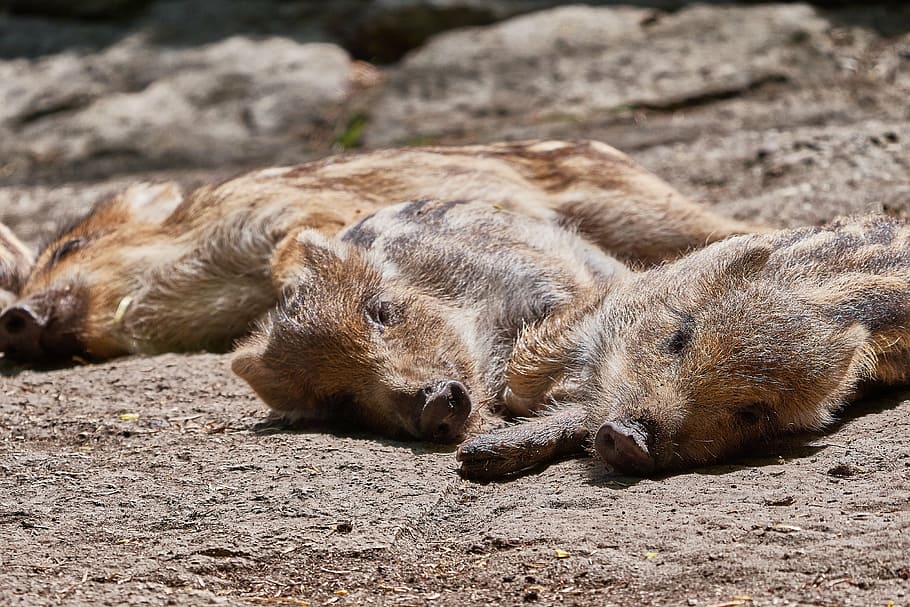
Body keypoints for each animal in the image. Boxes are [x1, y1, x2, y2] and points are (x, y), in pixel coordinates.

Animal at [458, 215, 910, 477]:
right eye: (679, 338)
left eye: (752, 413)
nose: (630, 439)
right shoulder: (609, 302)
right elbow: (530, 365)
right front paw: (473, 455)